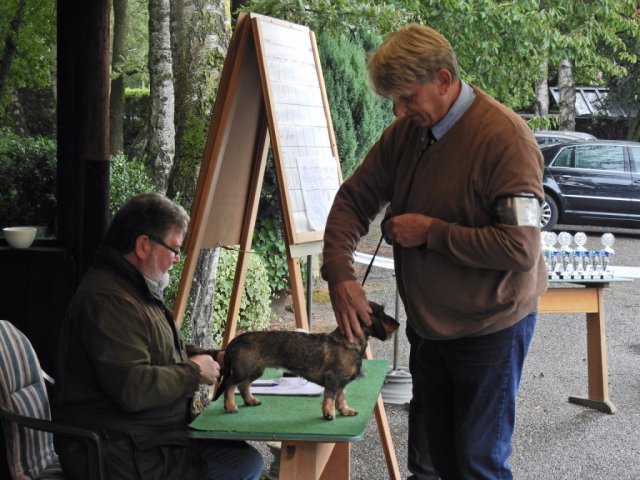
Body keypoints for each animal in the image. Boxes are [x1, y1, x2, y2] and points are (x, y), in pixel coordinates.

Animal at [212, 302, 398, 418]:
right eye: (380, 313)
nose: (398, 324)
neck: (348, 342)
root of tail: (234, 341)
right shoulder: (333, 379)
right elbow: (330, 397)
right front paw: (329, 413)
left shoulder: (341, 382)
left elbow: (341, 397)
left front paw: (345, 410)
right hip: (244, 370)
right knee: (230, 385)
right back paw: (230, 406)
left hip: (255, 370)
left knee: (243, 386)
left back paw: (250, 400)